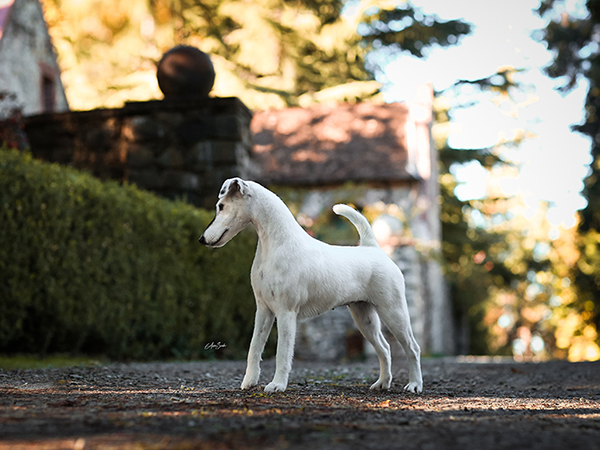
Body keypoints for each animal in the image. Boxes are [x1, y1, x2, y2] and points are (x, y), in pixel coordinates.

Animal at [199, 178, 424, 392]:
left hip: (393, 311)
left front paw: (277, 385)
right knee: (384, 348)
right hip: (364, 316)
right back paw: (382, 383)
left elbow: (282, 353)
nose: (201, 239)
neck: (275, 244)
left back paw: (414, 385)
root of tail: (374, 248)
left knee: (412, 348)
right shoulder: (263, 310)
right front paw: (249, 382)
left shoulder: (286, 312)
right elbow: (254, 348)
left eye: (221, 206)